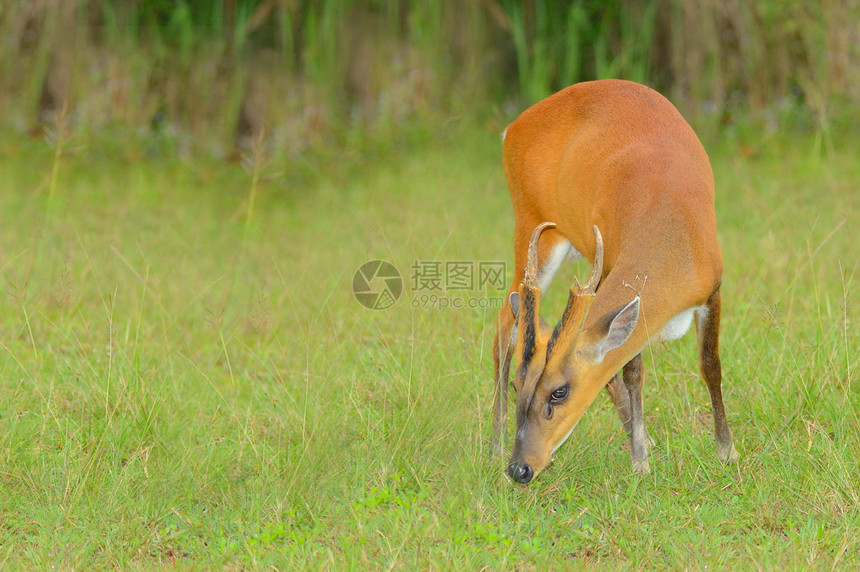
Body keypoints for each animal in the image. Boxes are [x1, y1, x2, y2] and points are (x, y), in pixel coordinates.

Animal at [490, 79, 740, 482]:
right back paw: (495, 445)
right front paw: (640, 459)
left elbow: (710, 366)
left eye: (559, 391)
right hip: (532, 223)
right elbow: (633, 370)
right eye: (517, 384)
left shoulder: (712, 288)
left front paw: (726, 452)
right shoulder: (611, 267)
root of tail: (511, 129)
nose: (520, 469)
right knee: (504, 322)